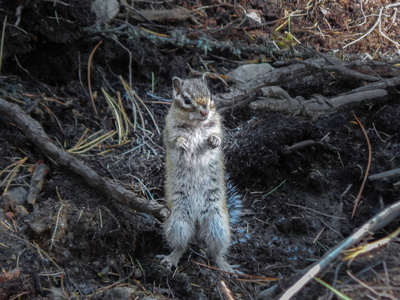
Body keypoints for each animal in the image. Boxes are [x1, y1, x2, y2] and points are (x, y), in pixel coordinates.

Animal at [159, 76, 241, 274]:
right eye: (187, 100)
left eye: (210, 95)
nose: (204, 112)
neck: (196, 124)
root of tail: (196, 224)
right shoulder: (169, 129)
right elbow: (174, 140)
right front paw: (183, 143)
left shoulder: (217, 126)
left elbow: (218, 136)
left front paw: (213, 141)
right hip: (178, 222)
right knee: (181, 246)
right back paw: (170, 259)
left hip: (217, 224)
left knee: (215, 251)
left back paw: (225, 266)